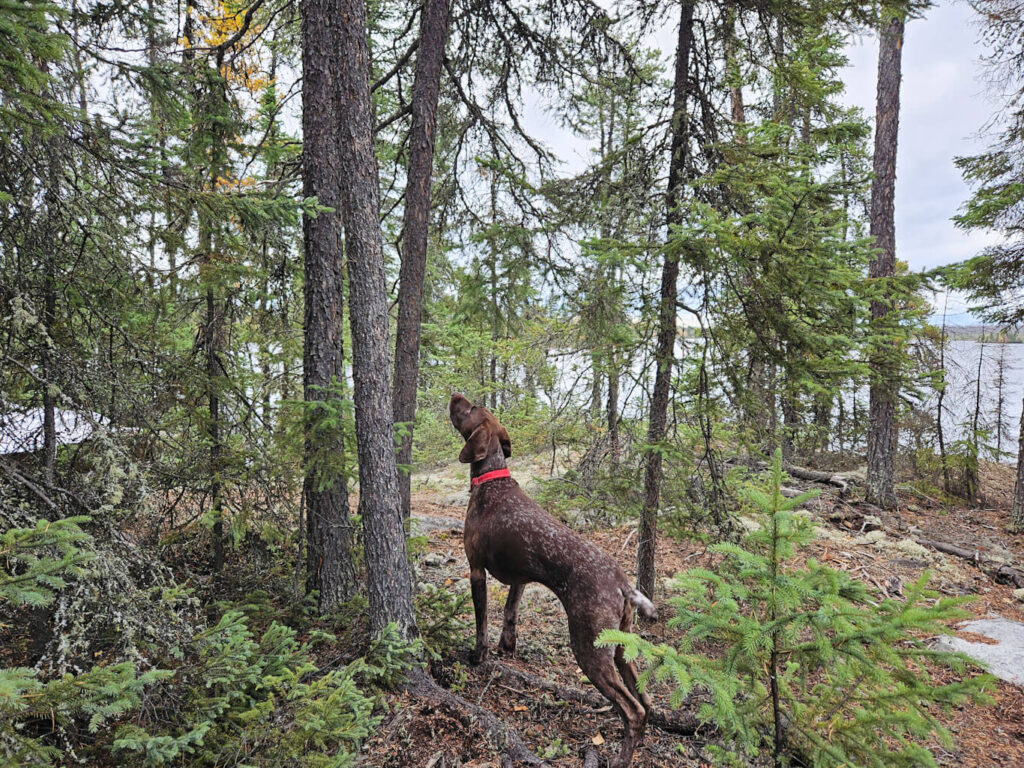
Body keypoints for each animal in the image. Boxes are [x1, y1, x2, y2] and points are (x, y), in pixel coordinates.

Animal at [450, 397, 655, 768]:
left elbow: (481, 622)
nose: (455, 394)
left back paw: (620, 759)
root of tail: (622, 583)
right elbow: (510, 613)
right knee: (646, 703)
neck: (491, 479)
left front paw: (479, 656)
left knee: (633, 711)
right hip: (621, 647)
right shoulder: (520, 577)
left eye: (470, 408)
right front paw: (507, 646)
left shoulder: (476, 570)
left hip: (590, 648)